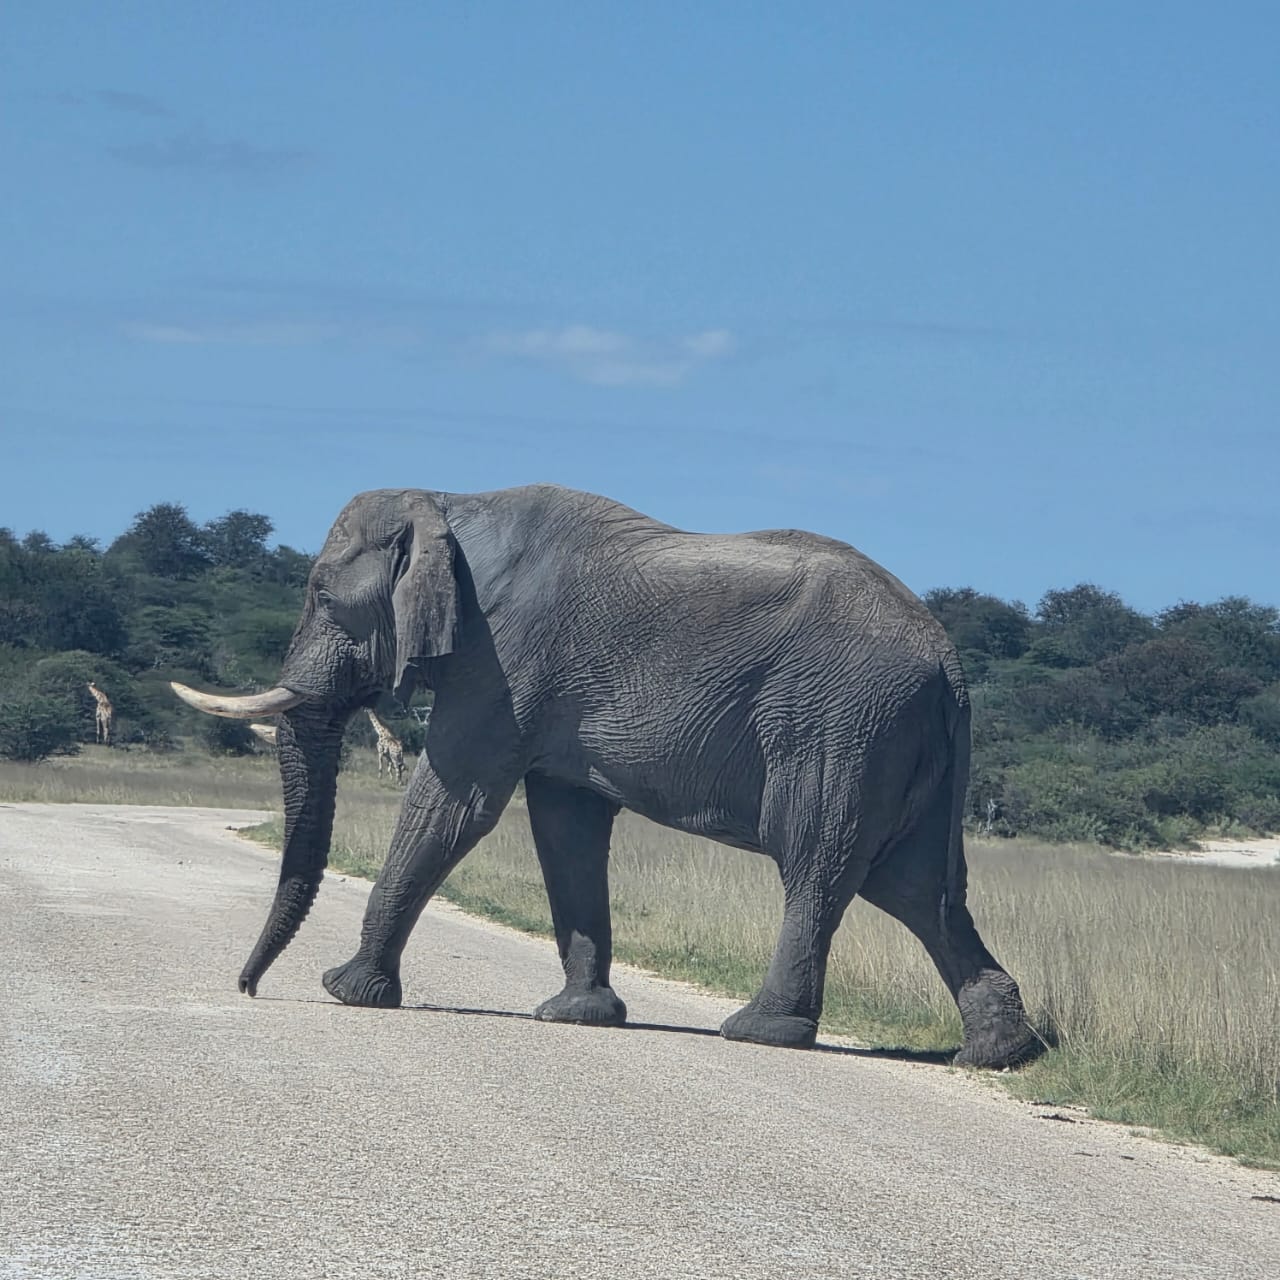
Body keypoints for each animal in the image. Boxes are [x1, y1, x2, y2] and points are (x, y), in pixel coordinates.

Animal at [173, 484, 1039, 1069]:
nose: (249, 988)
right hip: (895, 740)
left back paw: (759, 1032)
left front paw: (346, 990)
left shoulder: (502, 657)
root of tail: (949, 660)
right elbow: (566, 828)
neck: (451, 505)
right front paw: (575, 1016)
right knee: (917, 889)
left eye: (323, 595)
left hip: (837, 726)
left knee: (818, 867)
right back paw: (997, 1054)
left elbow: (453, 804)